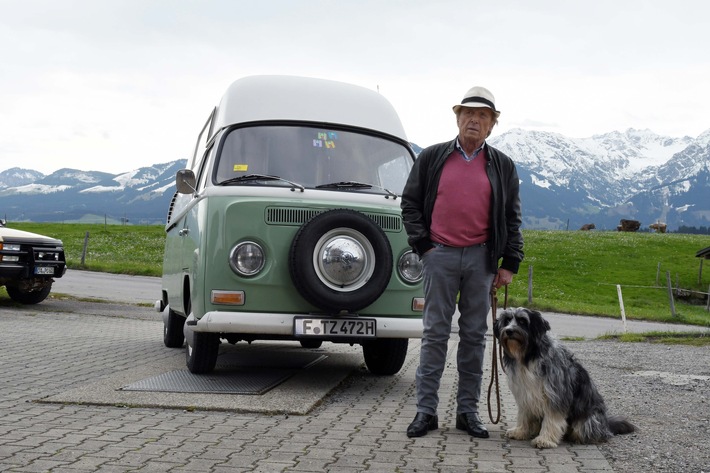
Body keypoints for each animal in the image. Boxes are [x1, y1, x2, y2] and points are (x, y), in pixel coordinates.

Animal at [492, 306, 636, 446]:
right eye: (507, 320)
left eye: (522, 321)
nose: (509, 331)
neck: (529, 356)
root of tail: (606, 425)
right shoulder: (525, 394)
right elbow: (524, 415)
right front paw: (520, 431)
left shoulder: (556, 395)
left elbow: (552, 419)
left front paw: (545, 439)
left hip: (586, 421)